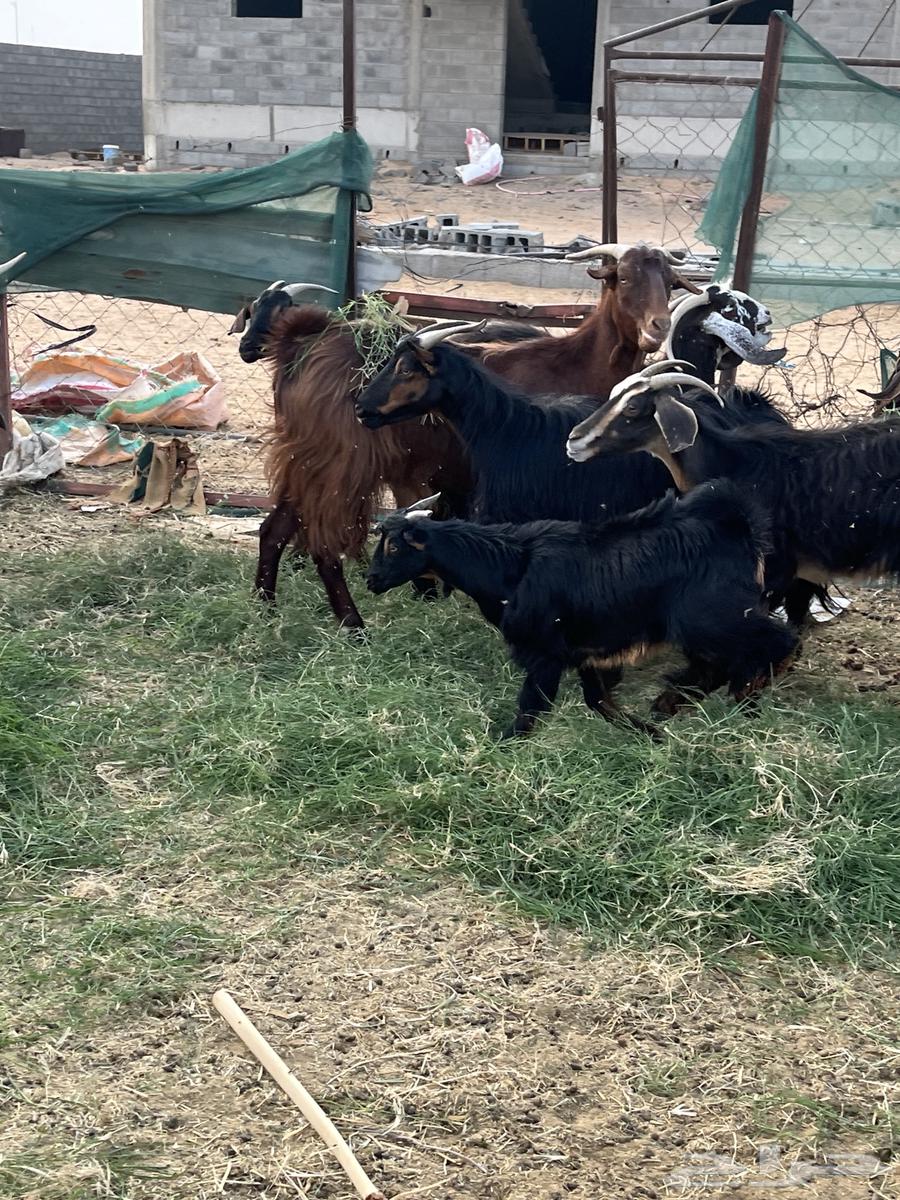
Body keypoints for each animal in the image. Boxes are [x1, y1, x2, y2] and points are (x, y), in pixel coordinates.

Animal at [366, 485, 798, 738]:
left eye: (394, 546)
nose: (371, 581)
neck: (510, 566)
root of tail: (738, 526)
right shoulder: (585, 651)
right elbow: (598, 701)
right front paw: (646, 733)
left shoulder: (545, 653)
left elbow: (531, 707)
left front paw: (504, 742)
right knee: (720, 665)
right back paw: (674, 703)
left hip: (714, 620)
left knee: (777, 643)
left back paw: (743, 697)